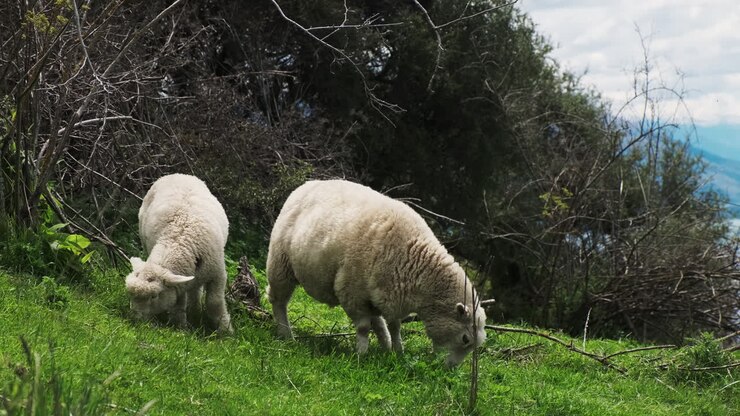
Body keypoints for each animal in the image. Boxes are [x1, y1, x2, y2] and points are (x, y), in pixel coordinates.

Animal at [125, 173, 233, 334]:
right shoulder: (179, 279)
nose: (135, 320)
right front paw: (180, 327)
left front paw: (225, 331)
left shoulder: (218, 274)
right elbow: (178, 302)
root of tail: (176, 174)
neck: (179, 240)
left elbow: (214, 302)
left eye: (154, 296)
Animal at [266, 179, 486, 367]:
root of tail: (305, 185)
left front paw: (397, 351)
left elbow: (395, 326)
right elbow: (364, 327)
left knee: (378, 321)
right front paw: (361, 355)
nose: (451, 369)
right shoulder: (351, 292)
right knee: (278, 301)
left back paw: (385, 345)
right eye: (465, 338)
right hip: (281, 265)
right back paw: (286, 335)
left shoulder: (392, 296)